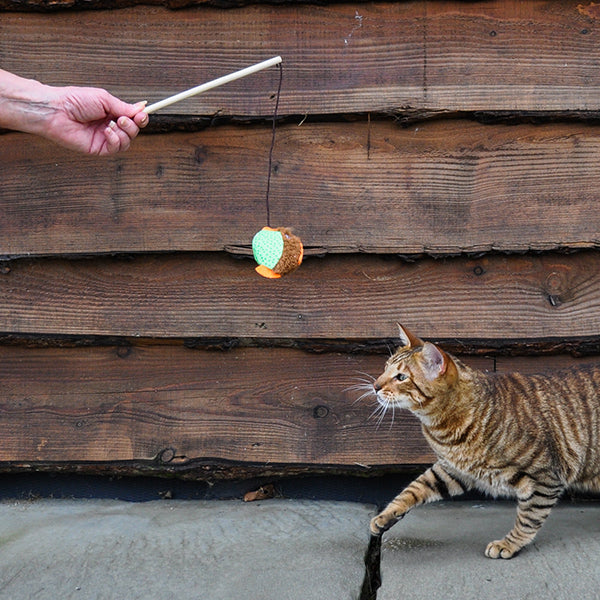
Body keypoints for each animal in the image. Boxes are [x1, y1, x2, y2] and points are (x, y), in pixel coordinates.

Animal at [368, 328, 600, 556]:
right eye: (385, 367)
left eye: (401, 377)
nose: (375, 385)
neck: (444, 428)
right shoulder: (453, 470)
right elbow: (415, 488)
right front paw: (387, 515)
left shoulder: (543, 478)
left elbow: (529, 518)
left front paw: (509, 543)